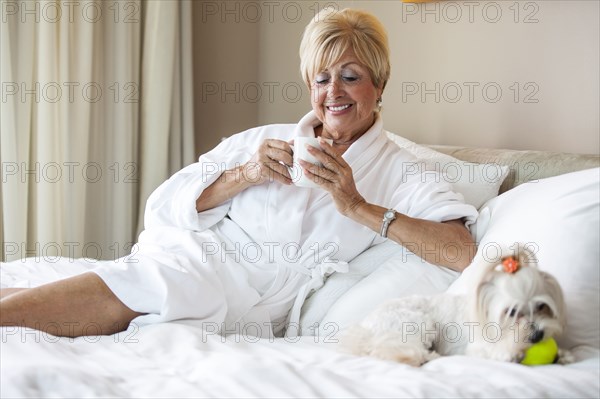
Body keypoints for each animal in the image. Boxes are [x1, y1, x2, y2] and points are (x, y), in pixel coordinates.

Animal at [342, 245, 572, 368]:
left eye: (542, 306)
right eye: (512, 312)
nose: (537, 335)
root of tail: (365, 327)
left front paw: (562, 355)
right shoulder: (476, 347)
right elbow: (491, 352)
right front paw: (510, 354)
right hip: (415, 324)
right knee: (385, 352)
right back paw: (424, 358)